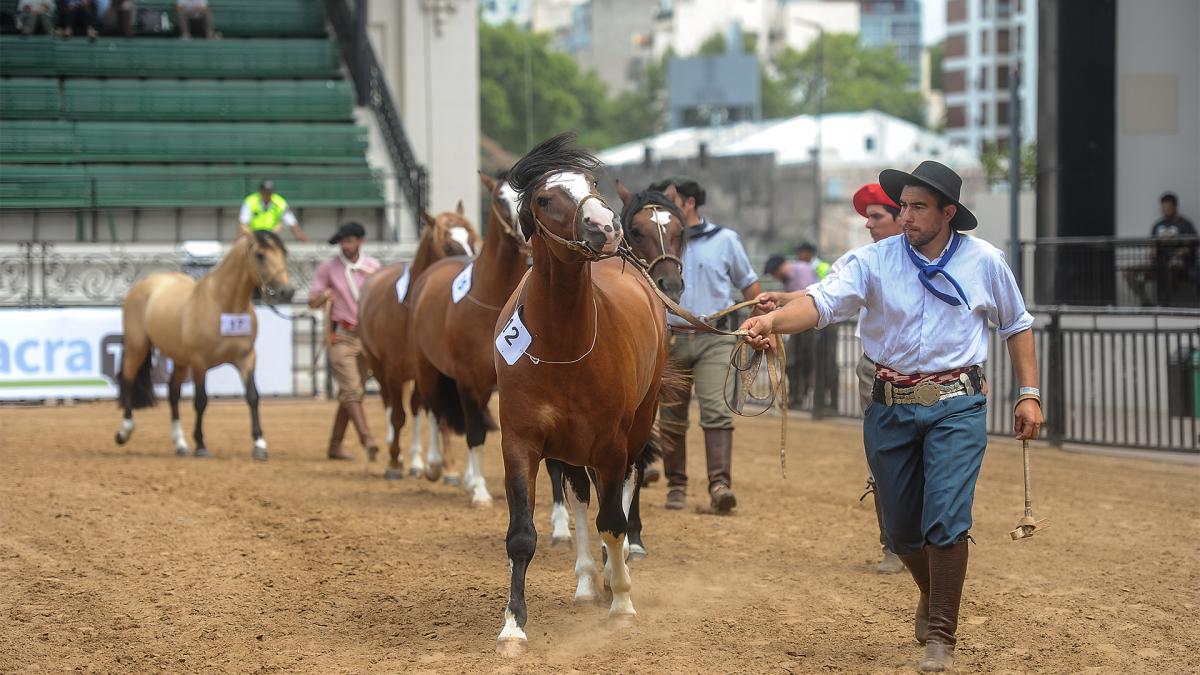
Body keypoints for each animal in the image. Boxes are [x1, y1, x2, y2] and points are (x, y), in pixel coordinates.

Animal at [113, 229, 296, 456]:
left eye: (284, 253)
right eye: (260, 255)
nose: (286, 291)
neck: (222, 305)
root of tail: (146, 284)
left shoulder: (246, 358)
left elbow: (253, 396)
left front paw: (259, 444)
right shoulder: (200, 362)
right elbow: (201, 401)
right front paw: (201, 445)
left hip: (180, 360)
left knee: (173, 393)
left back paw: (180, 444)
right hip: (137, 347)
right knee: (127, 379)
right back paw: (124, 432)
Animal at [357, 205, 480, 478]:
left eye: (472, 242)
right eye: (449, 246)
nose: (468, 274)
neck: (411, 310)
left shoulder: (433, 372)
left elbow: (431, 414)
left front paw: (446, 468)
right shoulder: (393, 371)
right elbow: (397, 416)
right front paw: (394, 462)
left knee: (414, 407)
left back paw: (415, 461)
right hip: (378, 367)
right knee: (390, 406)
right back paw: (398, 454)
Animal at [410, 168, 528, 504]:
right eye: (500, 197)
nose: (523, 232)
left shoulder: (493, 383)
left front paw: (476, 483)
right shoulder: (465, 378)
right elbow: (474, 431)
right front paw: (479, 491)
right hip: (427, 369)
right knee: (431, 408)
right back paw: (434, 465)